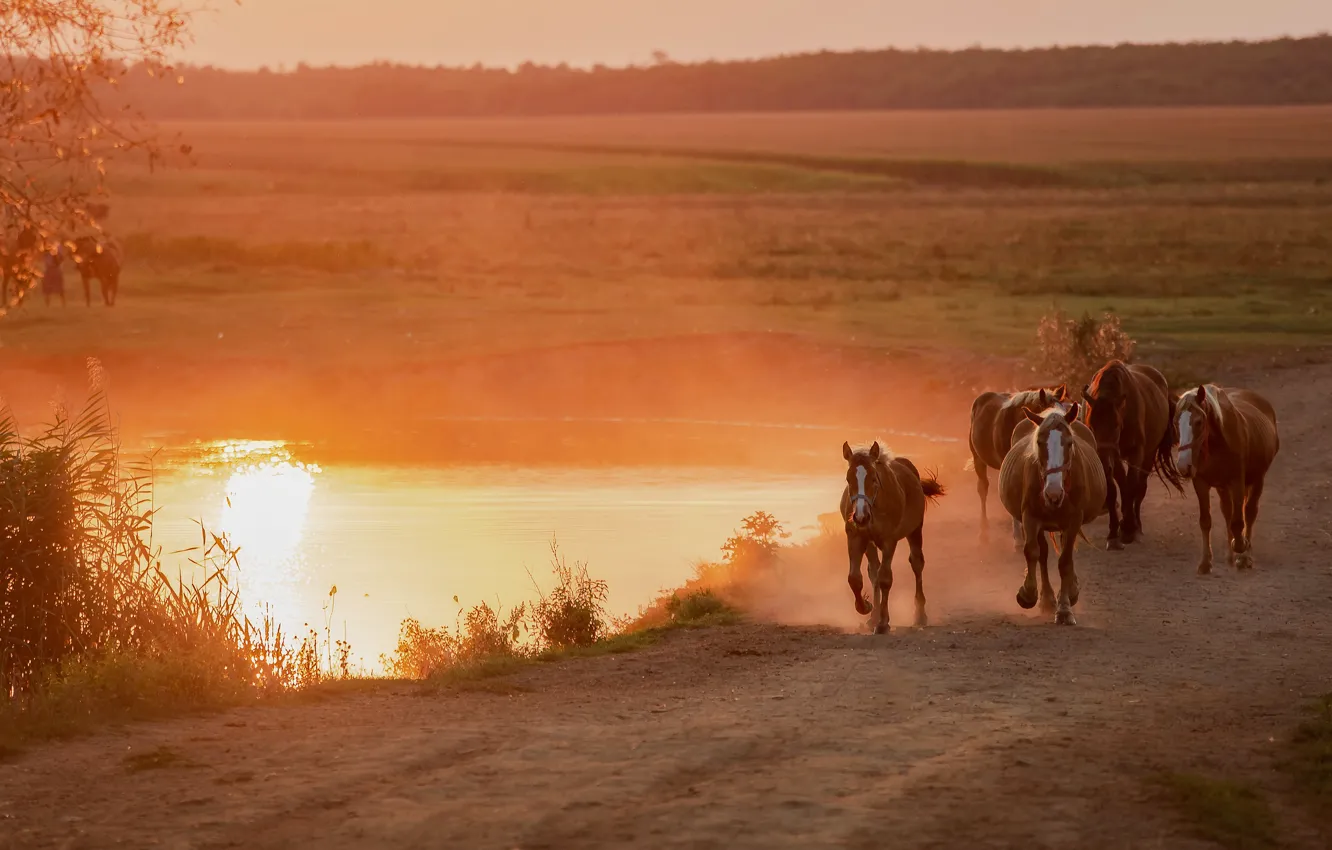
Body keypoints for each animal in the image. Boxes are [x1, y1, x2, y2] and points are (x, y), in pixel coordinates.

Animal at [841, 441, 945, 634]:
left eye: (874, 478)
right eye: (848, 479)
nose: (860, 517)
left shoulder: (889, 541)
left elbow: (885, 579)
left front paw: (883, 623)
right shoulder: (856, 537)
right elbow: (855, 579)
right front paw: (866, 607)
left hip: (915, 530)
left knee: (917, 564)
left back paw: (920, 615)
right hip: (870, 544)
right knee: (873, 571)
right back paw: (872, 617)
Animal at [999, 404, 1106, 625]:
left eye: (1069, 443)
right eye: (1039, 442)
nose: (1053, 493)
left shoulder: (1073, 521)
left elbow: (1065, 562)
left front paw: (1064, 608)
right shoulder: (1030, 517)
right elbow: (1033, 552)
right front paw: (1028, 594)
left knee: (1065, 551)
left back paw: (1070, 591)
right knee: (1043, 554)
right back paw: (1047, 599)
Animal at [1081, 361, 1182, 550]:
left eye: (1115, 425)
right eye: (1091, 424)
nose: (1104, 463)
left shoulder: (1136, 452)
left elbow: (1133, 486)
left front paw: (1128, 528)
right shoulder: (1112, 456)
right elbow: (1114, 490)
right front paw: (1114, 533)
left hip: (1148, 454)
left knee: (1140, 487)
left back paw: (1137, 526)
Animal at [1175, 386, 1279, 574]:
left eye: (1199, 422)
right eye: (1175, 423)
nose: (1183, 466)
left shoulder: (1237, 482)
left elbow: (1238, 522)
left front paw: (1241, 547)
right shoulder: (1201, 483)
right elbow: (1206, 521)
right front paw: (1205, 562)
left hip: (1257, 480)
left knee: (1249, 513)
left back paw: (1245, 555)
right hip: (1223, 487)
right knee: (1227, 512)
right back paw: (1231, 557)